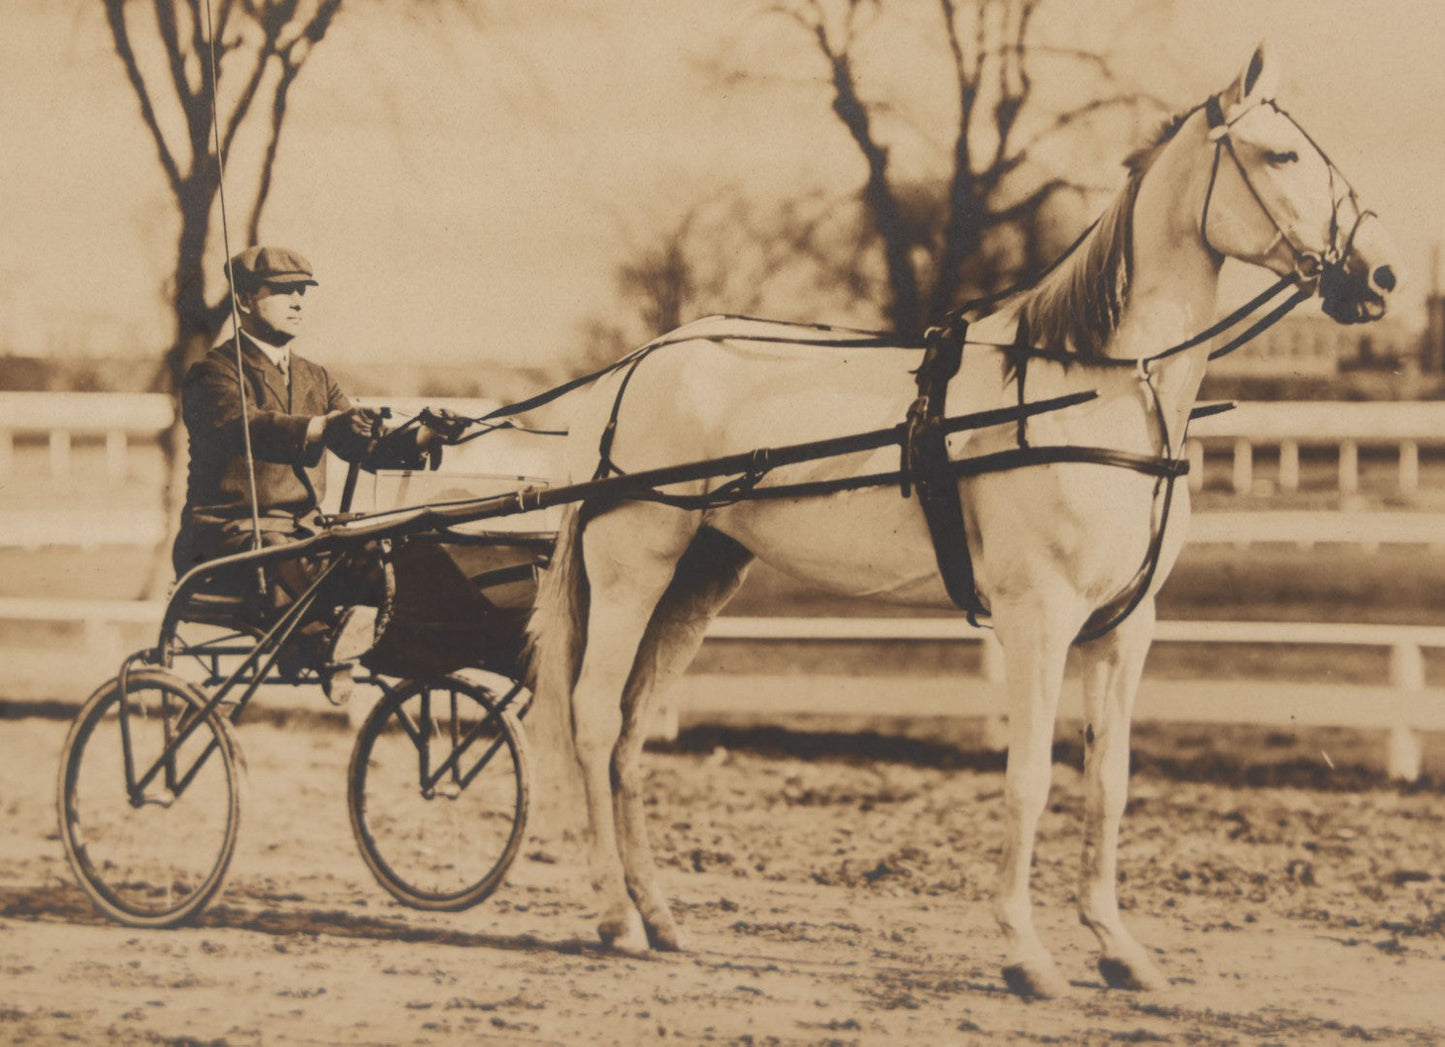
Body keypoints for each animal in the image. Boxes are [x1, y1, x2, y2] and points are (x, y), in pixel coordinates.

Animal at [525, 42, 1392, 999]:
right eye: (1280, 155)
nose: (1378, 276)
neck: (1092, 388)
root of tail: (634, 365)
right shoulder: (1038, 618)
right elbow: (1026, 778)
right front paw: (1025, 951)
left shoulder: (1123, 627)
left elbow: (1108, 781)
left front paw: (1116, 946)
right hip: (633, 571)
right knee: (593, 716)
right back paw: (615, 918)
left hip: (699, 580)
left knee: (631, 733)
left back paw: (659, 915)